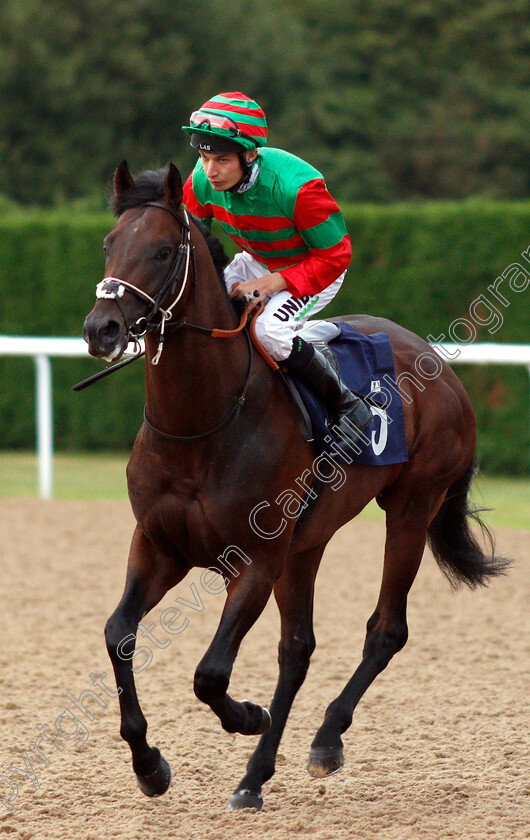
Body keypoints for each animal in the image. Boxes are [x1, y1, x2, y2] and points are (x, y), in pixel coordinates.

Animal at [80, 162, 506, 812]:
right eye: (109, 244)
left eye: (161, 251)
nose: (100, 328)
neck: (202, 424)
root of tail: (444, 370)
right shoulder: (158, 546)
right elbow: (118, 635)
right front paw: (149, 765)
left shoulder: (255, 559)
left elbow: (210, 674)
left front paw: (247, 716)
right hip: (309, 542)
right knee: (297, 650)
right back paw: (255, 777)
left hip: (410, 508)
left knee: (385, 630)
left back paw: (324, 740)